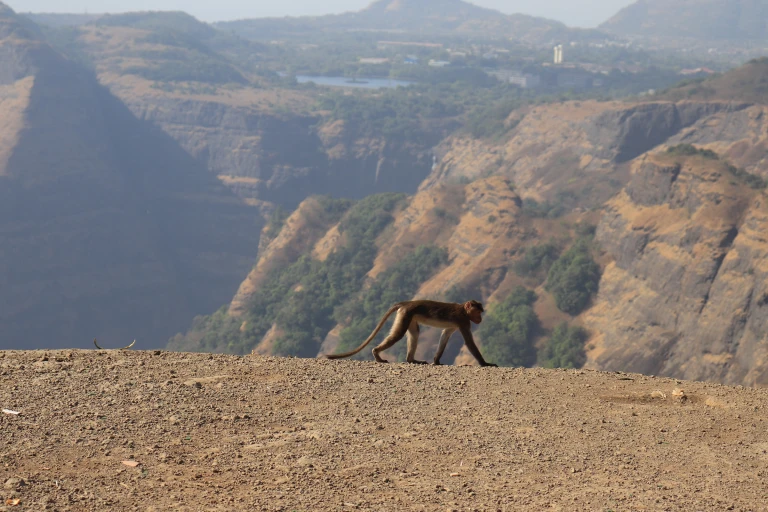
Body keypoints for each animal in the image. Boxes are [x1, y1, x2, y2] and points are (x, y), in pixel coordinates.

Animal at [326, 300, 498, 368]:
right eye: (477, 312)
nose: (480, 319)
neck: (463, 309)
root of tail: (406, 303)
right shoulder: (463, 321)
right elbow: (469, 343)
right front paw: (485, 363)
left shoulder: (457, 324)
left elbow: (445, 335)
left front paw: (436, 361)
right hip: (405, 314)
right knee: (398, 334)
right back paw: (377, 354)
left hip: (409, 316)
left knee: (415, 333)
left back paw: (411, 359)